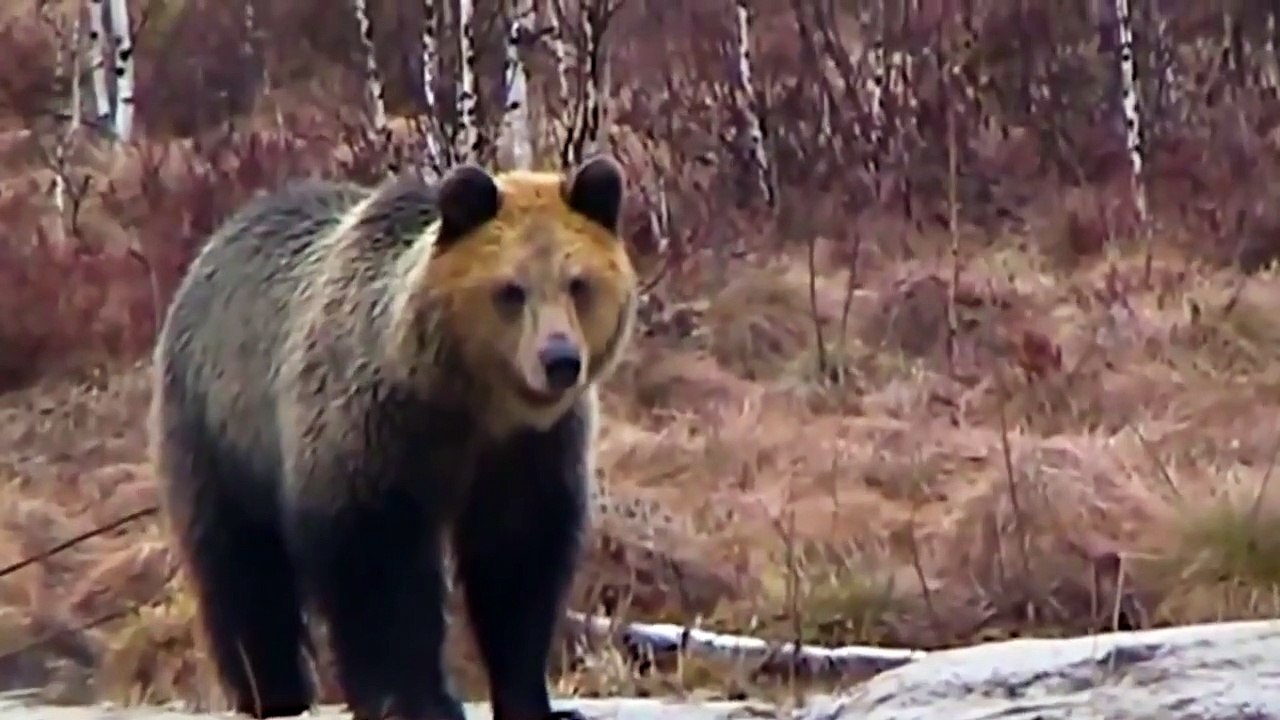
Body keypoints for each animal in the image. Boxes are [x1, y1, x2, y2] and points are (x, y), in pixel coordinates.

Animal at [148, 155, 636, 720]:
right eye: (511, 290)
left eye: (578, 284)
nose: (559, 359)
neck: (470, 401)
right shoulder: (372, 431)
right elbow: (378, 571)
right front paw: (415, 698)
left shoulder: (529, 451)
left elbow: (517, 564)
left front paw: (535, 699)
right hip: (219, 432)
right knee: (243, 569)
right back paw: (272, 691)